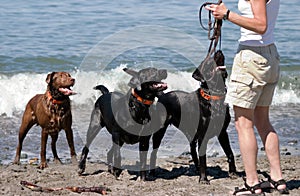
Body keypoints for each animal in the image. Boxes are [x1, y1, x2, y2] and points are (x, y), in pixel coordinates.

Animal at [152, 51, 237, 184]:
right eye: (208, 61)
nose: (218, 51)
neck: (213, 98)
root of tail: (162, 95)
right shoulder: (203, 135)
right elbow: (203, 158)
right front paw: (203, 179)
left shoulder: (222, 132)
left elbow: (230, 153)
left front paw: (233, 172)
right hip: (160, 130)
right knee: (153, 152)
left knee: (192, 150)